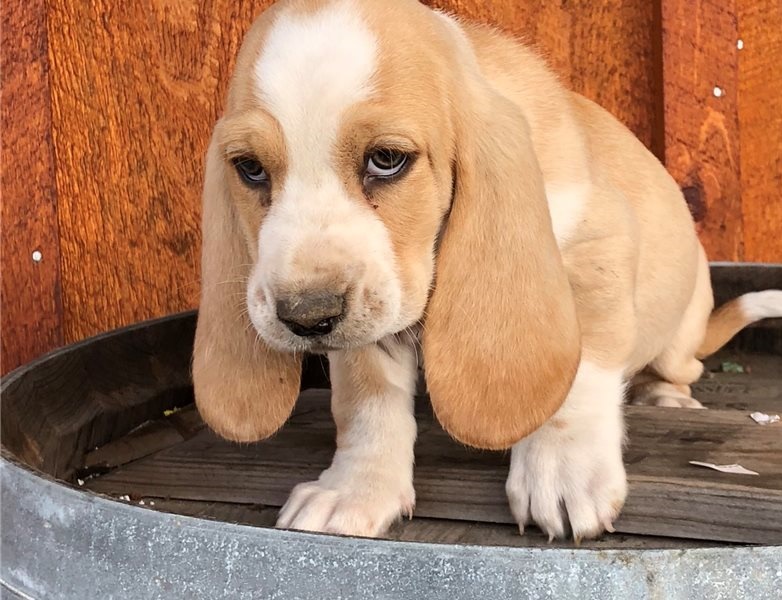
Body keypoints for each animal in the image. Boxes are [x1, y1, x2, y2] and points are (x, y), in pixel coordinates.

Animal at [191, 0, 782, 540]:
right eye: (249, 168)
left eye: (387, 159)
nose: (307, 318)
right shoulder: (374, 321)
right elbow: (367, 402)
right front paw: (355, 489)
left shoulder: (597, 249)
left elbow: (579, 375)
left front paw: (562, 472)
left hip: (684, 323)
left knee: (682, 365)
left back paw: (664, 393)